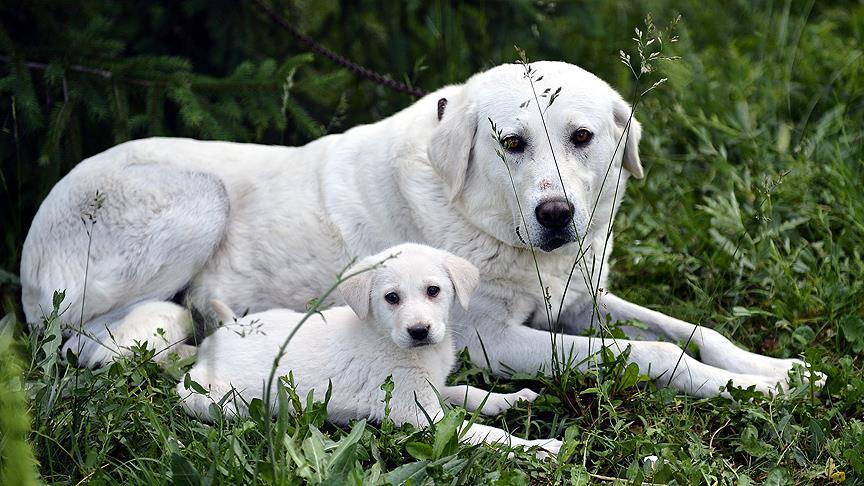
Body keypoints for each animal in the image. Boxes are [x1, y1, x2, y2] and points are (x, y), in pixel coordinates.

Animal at [22, 60, 816, 396]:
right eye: (512, 143)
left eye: (583, 137)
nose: (556, 216)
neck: (489, 228)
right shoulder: (496, 343)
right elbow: (656, 355)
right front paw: (747, 391)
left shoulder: (578, 299)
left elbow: (693, 332)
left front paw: (774, 369)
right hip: (199, 196)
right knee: (83, 340)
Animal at [179, 245, 564, 458]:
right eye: (391, 298)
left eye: (434, 291)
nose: (419, 331)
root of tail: (221, 336)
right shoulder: (423, 415)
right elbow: (490, 435)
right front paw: (542, 447)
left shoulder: (431, 390)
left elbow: (469, 392)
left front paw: (512, 398)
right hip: (207, 398)